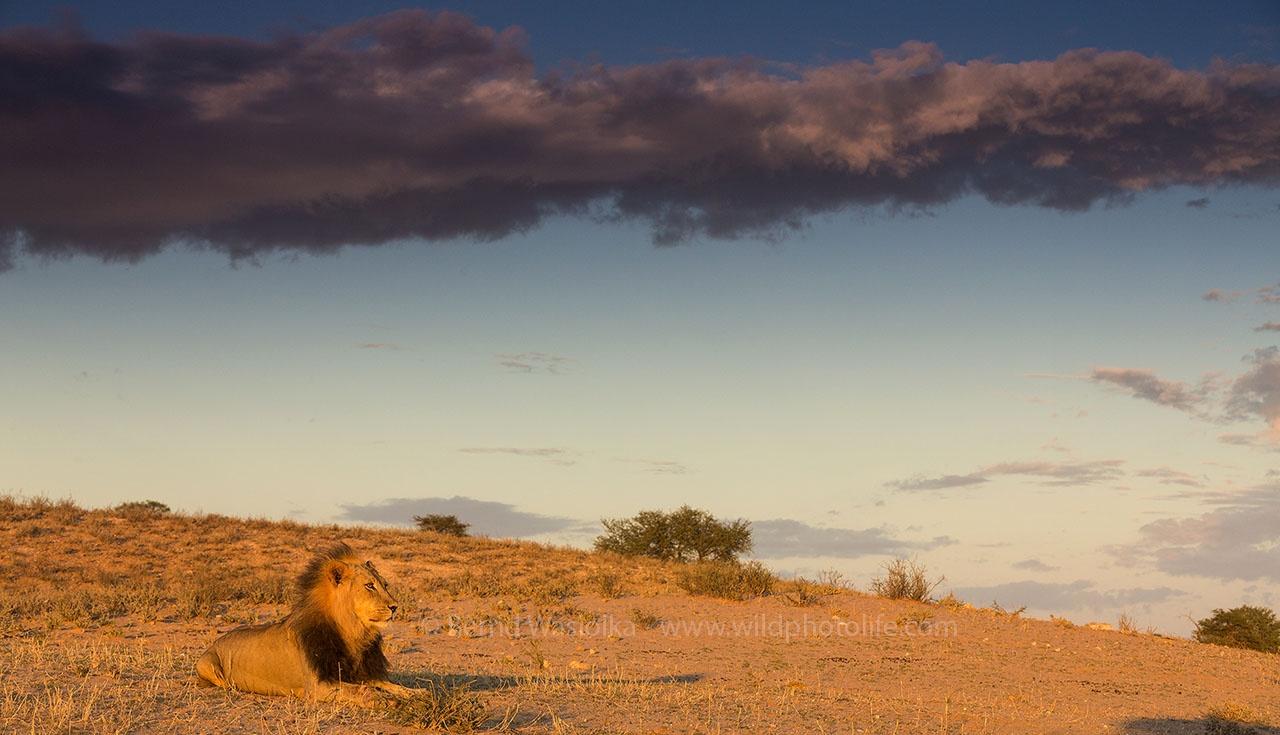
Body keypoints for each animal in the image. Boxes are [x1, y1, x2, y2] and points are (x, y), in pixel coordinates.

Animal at [193, 545, 409, 706]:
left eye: (385, 585)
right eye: (369, 586)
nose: (395, 606)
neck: (352, 632)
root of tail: (216, 641)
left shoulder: (356, 673)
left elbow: (387, 683)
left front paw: (412, 693)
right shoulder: (317, 685)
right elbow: (362, 690)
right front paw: (385, 700)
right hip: (207, 664)